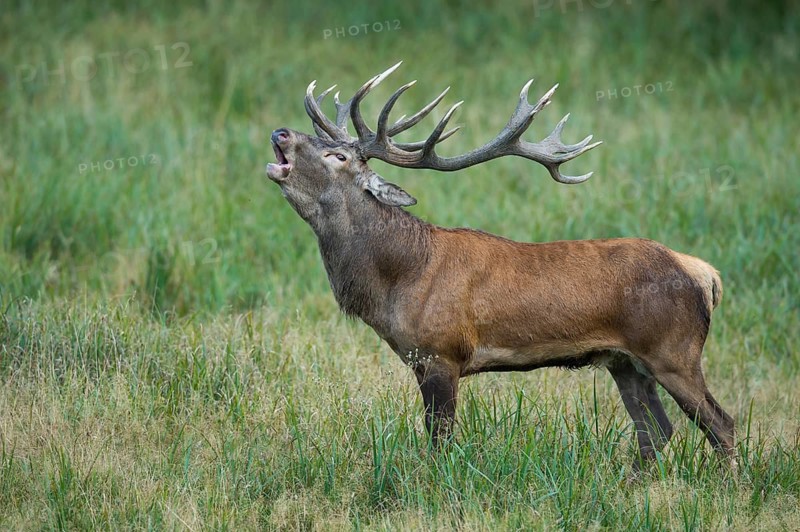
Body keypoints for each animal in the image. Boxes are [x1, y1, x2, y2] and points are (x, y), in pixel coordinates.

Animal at [265, 62, 735, 470]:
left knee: (721, 424)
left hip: (673, 350)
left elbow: (439, 441)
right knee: (656, 429)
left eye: (338, 157)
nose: (279, 132)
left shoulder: (442, 352)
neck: (398, 279)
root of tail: (703, 273)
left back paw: (731, 484)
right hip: (625, 361)